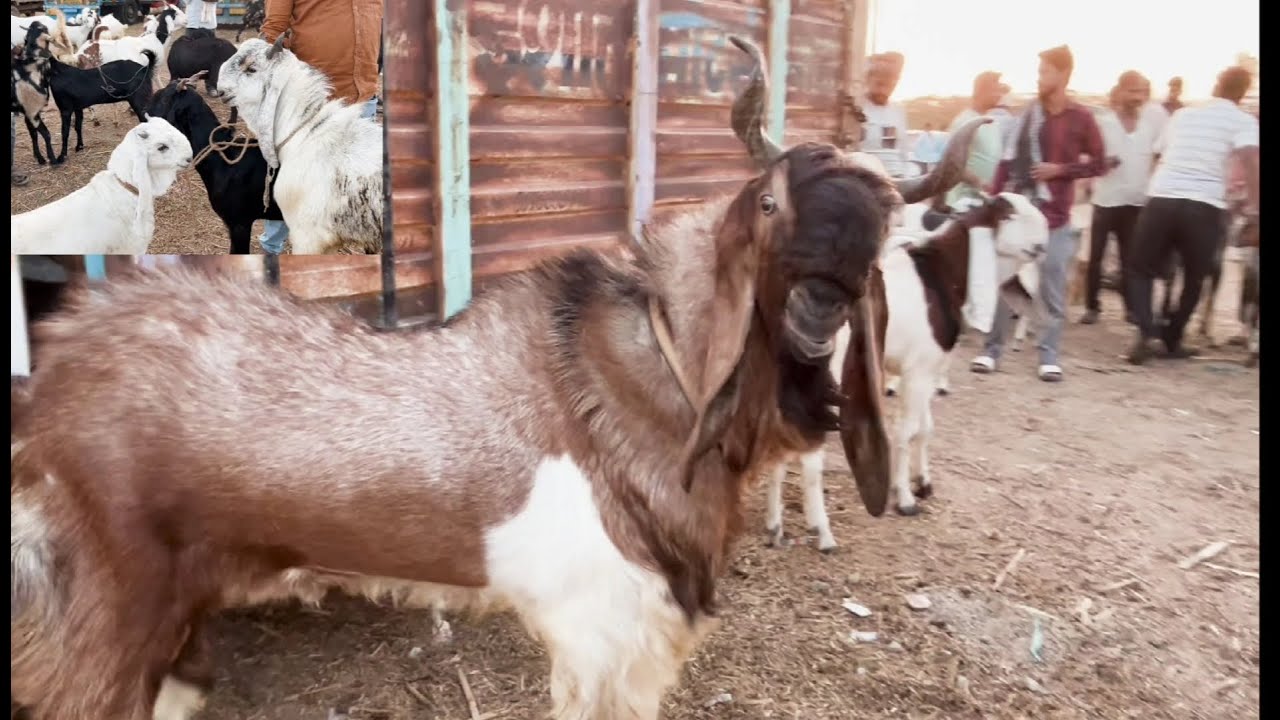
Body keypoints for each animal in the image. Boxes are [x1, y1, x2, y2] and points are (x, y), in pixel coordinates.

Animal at [10, 23, 57, 166]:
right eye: (44, 29)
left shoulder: (29, 113)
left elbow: (34, 135)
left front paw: (40, 158)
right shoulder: (32, 112)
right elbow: (46, 134)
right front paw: (53, 159)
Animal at [764, 193, 1048, 547]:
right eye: (1009, 215)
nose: (1042, 245)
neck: (940, 276)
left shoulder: (926, 369)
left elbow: (926, 427)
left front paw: (923, 482)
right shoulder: (918, 370)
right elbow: (907, 430)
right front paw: (905, 500)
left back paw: (774, 527)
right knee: (809, 454)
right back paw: (823, 532)